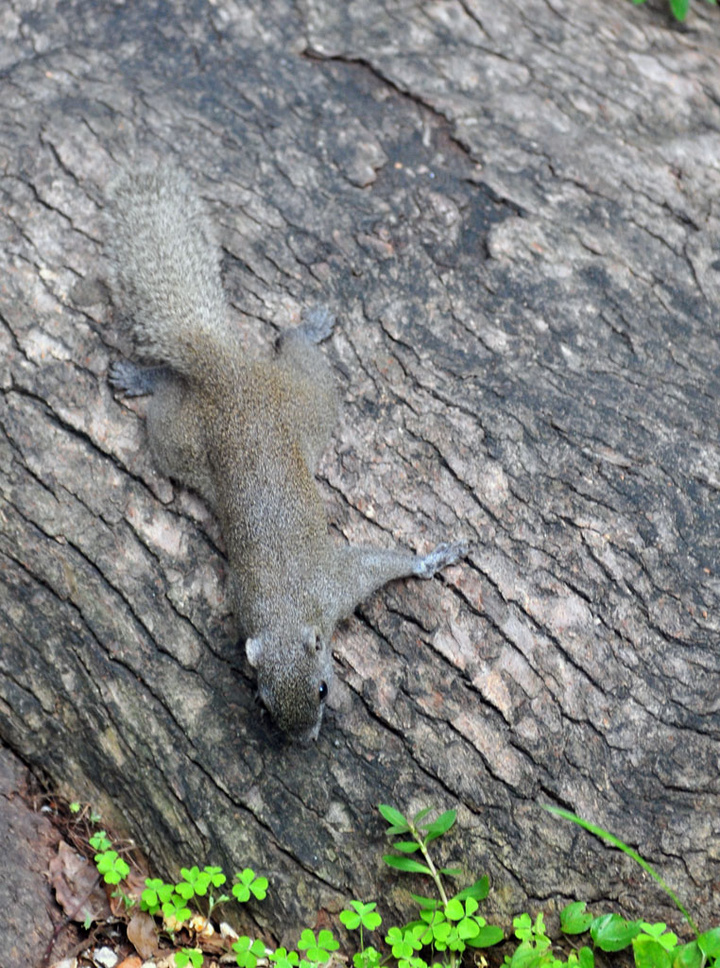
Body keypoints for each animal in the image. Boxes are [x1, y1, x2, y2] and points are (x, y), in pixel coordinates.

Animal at [104, 164, 470, 740]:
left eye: (322, 689)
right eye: (263, 702)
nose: (304, 742)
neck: (283, 609)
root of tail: (227, 371)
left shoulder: (339, 581)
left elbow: (385, 563)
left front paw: (434, 558)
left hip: (302, 401)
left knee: (291, 347)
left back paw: (307, 327)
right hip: (184, 440)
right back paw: (142, 376)